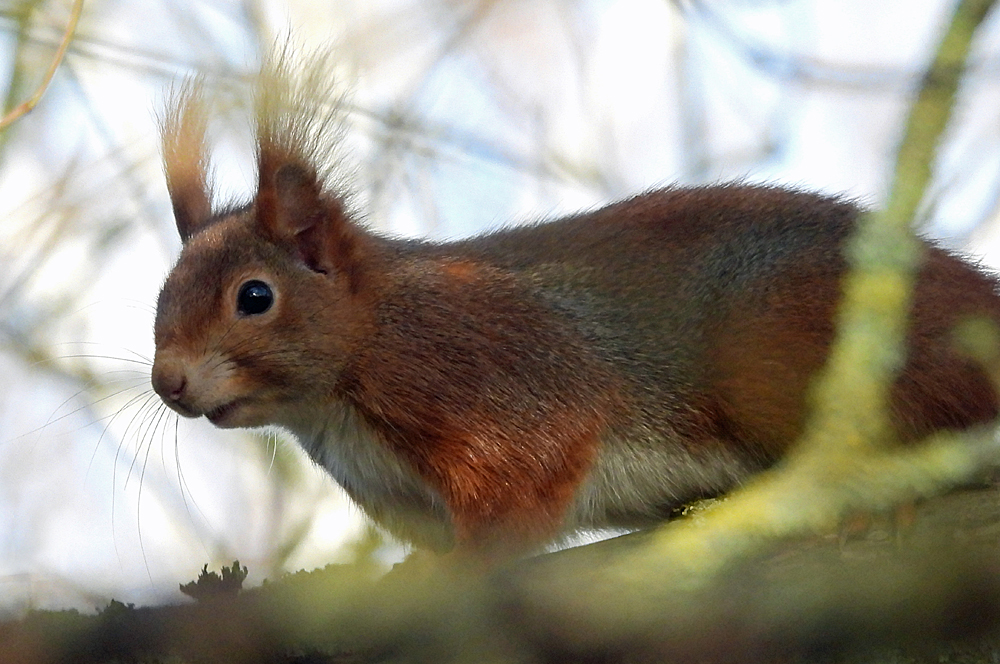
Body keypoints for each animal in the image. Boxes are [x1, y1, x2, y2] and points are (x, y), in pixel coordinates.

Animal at [150, 45, 1000, 556]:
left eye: (254, 296)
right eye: (162, 292)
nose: (168, 382)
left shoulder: (486, 373)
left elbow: (532, 471)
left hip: (791, 344)